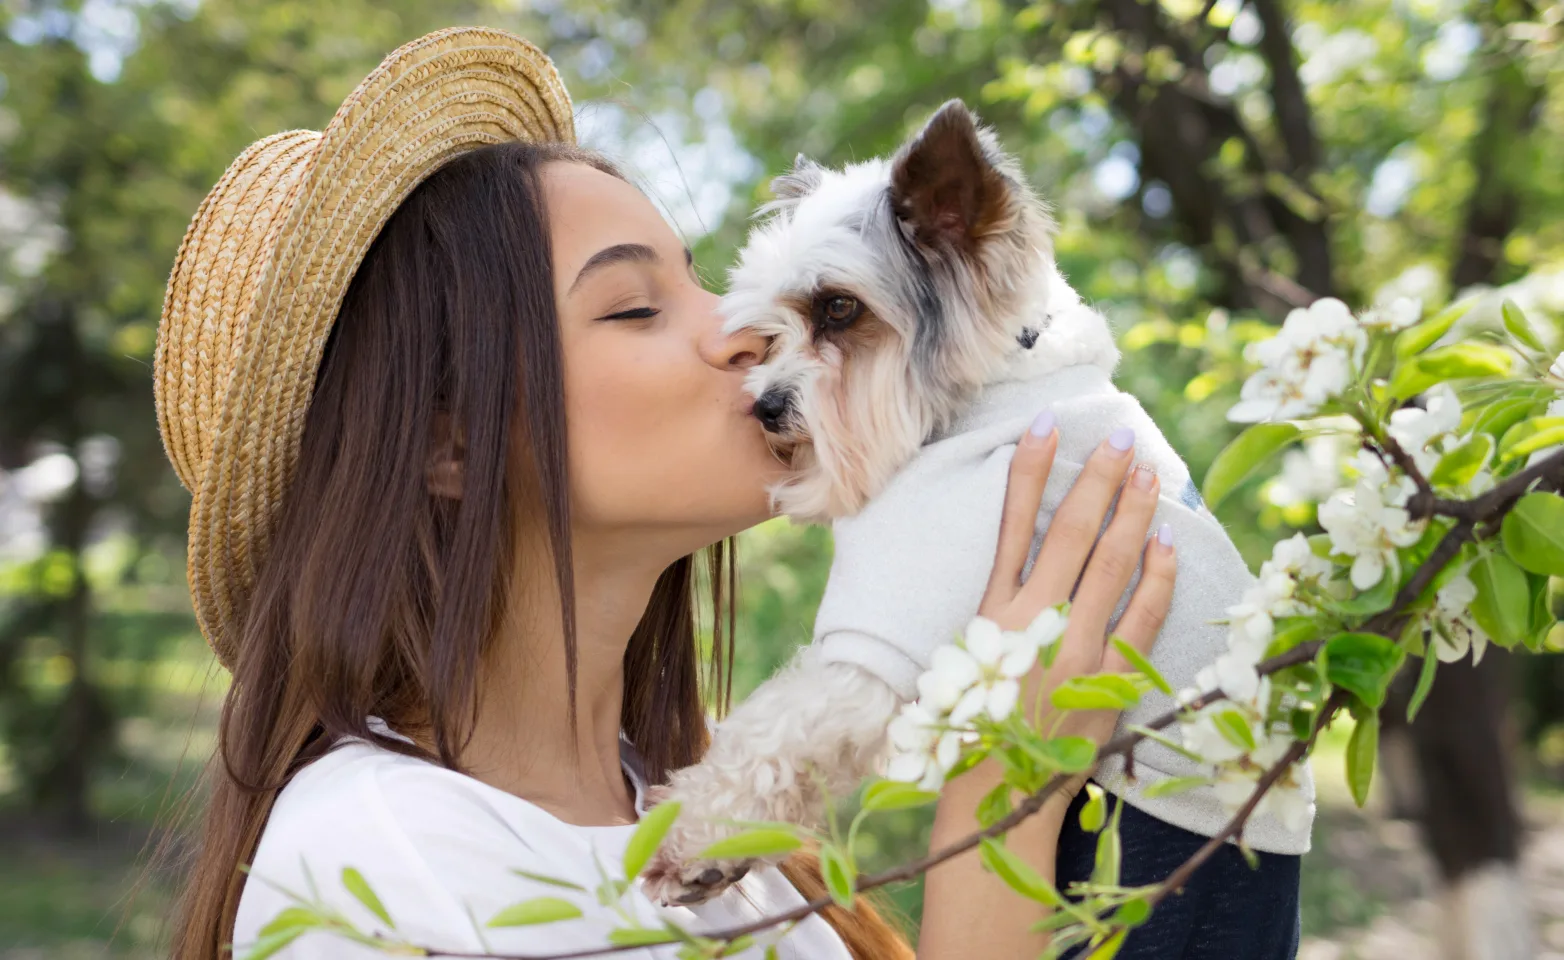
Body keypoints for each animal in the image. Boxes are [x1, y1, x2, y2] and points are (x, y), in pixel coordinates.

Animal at [641, 103, 1313, 913]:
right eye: (773, 328)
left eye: (839, 308)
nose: (764, 407)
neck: (996, 377)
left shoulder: (891, 633)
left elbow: (776, 728)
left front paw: (689, 838)